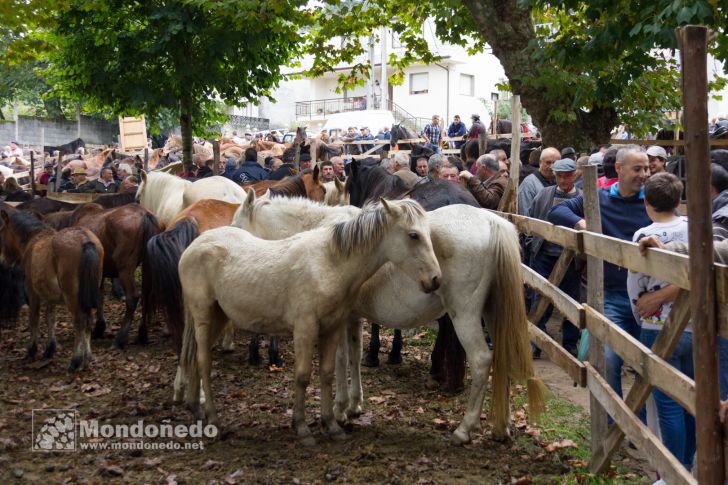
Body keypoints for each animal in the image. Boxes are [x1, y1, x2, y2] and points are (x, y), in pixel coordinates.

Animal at [0, 209, 105, 370]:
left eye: (2, 232)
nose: (3, 262)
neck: (33, 240)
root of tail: (86, 240)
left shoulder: (32, 291)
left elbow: (34, 318)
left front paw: (31, 350)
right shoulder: (50, 294)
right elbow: (51, 318)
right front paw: (49, 349)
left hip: (72, 297)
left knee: (80, 322)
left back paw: (75, 361)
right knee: (88, 321)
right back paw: (87, 359)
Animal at [44, 203, 163, 348]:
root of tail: (146, 215)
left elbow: (96, 297)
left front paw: (98, 328)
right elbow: (100, 297)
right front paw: (99, 327)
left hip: (125, 267)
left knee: (133, 297)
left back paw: (120, 338)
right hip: (147, 266)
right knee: (147, 295)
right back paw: (142, 334)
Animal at [175, 199, 444, 444]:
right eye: (413, 235)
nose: (435, 279)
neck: (328, 263)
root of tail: (192, 246)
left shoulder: (334, 327)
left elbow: (327, 372)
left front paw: (332, 424)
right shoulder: (306, 329)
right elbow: (305, 375)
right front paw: (303, 427)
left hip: (218, 317)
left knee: (196, 360)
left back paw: (198, 410)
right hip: (204, 317)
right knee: (203, 362)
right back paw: (212, 418)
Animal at [230, 193, 544, 442]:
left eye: (236, 227)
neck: (326, 241)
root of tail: (492, 222)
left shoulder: (337, 320)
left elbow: (341, 360)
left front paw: (339, 410)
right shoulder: (352, 319)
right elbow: (354, 356)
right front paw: (354, 405)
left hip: (464, 317)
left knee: (481, 360)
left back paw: (464, 430)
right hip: (492, 314)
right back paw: (501, 428)